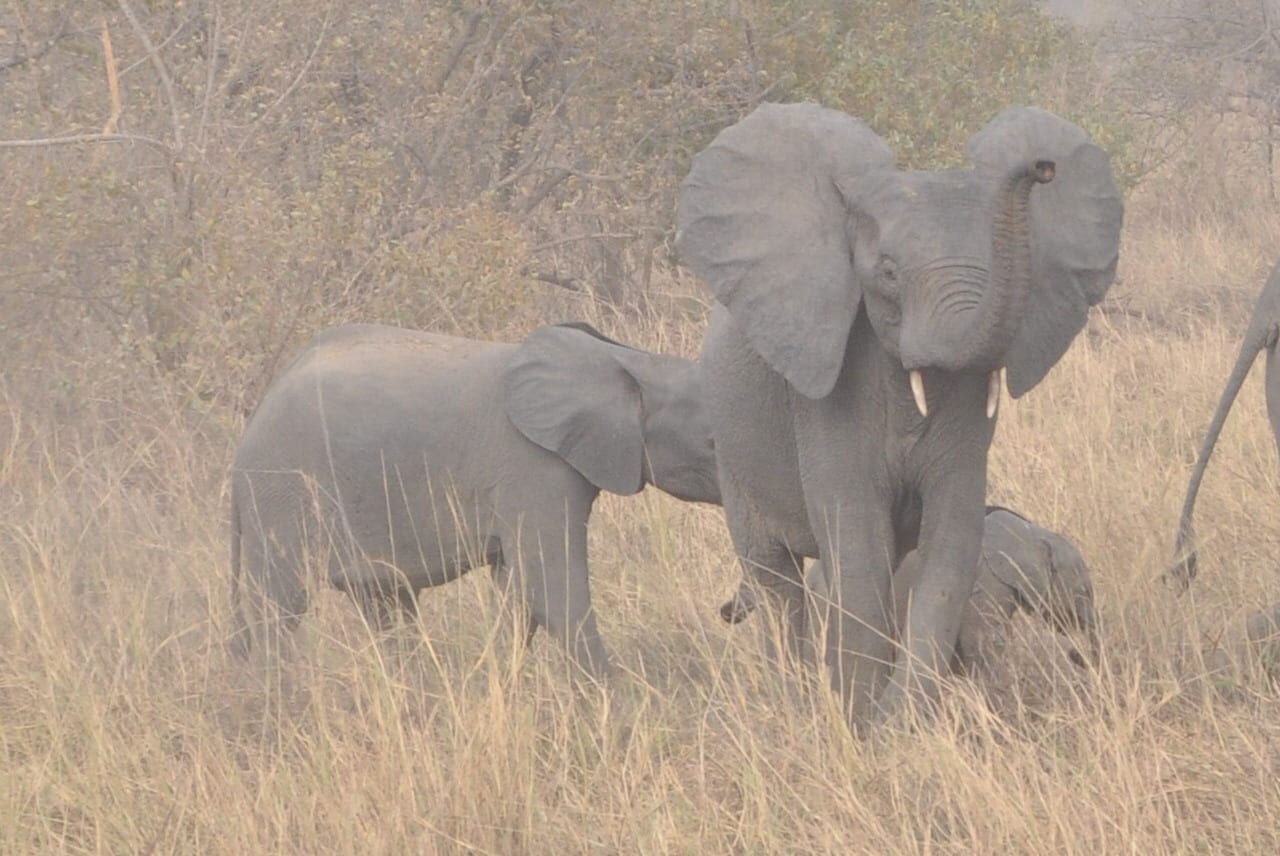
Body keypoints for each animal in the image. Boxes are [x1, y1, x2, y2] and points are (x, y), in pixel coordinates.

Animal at [228, 322, 720, 679]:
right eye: (713, 443)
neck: (626, 360)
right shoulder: (534, 467)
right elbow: (552, 591)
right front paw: (619, 707)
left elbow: (517, 594)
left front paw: (497, 682)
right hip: (282, 494)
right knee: (281, 610)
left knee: (384, 605)